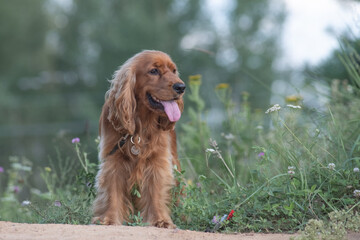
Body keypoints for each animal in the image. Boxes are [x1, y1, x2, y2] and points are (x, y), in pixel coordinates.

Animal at [91, 49, 187, 228]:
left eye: (174, 70)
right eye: (154, 71)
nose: (181, 87)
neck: (141, 125)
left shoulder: (158, 161)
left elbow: (155, 191)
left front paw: (160, 220)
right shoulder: (113, 159)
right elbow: (112, 191)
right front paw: (109, 219)